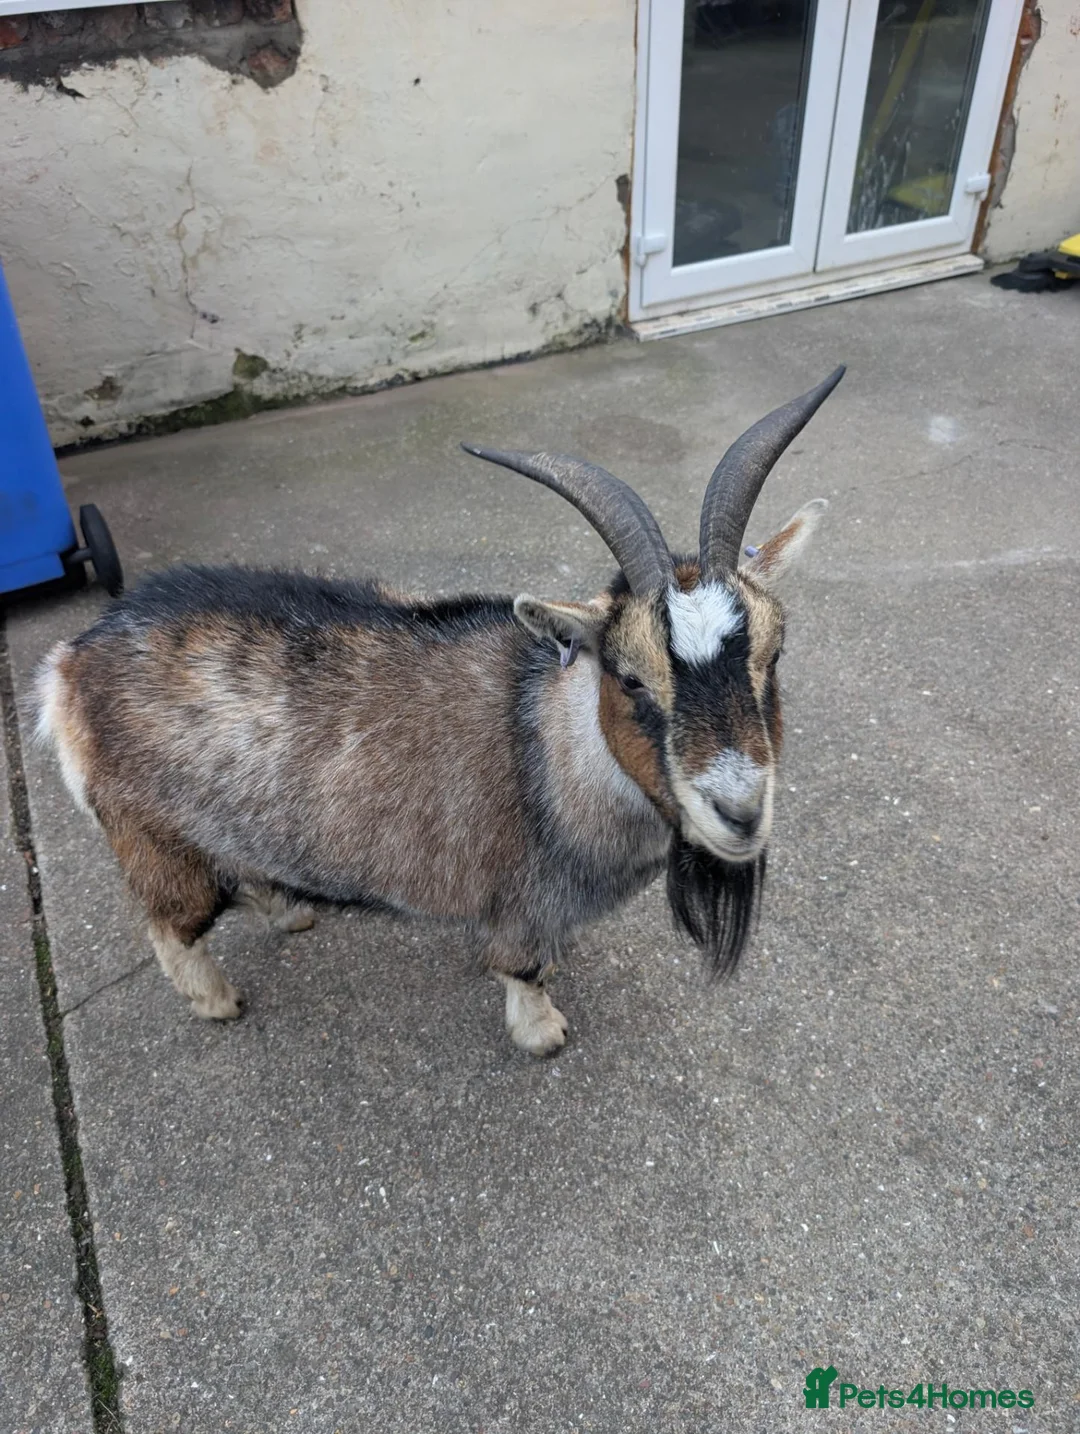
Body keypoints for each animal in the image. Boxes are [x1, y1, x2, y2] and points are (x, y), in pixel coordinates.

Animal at [35, 368, 843, 1054]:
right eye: (630, 678)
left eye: (773, 654)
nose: (739, 812)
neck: (547, 743)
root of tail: (71, 663)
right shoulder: (523, 899)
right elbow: (522, 969)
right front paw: (541, 1031)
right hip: (155, 838)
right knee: (171, 927)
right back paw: (216, 999)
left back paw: (290, 909)